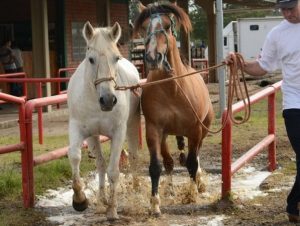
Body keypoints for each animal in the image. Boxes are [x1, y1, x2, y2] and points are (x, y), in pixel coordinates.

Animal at [67, 21, 141, 221]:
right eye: (91, 59)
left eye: (116, 58)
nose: (108, 100)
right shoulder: (79, 129)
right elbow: (75, 156)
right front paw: (80, 200)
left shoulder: (119, 133)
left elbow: (113, 171)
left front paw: (112, 210)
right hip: (93, 137)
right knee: (99, 164)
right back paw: (101, 200)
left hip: (132, 126)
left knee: (133, 156)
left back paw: (135, 189)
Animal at [135, 2, 214, 216]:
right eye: (144, 27)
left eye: (168, 25)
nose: (153, 57)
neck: (173, 89)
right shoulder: (154, 129)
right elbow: (157, 166)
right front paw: (155, 204)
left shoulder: (195, 130)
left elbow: (192, 162)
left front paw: (192, 193)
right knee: (170, 162)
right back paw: (169, 189)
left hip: (202, 131)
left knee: (196, 157)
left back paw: (199, 183)